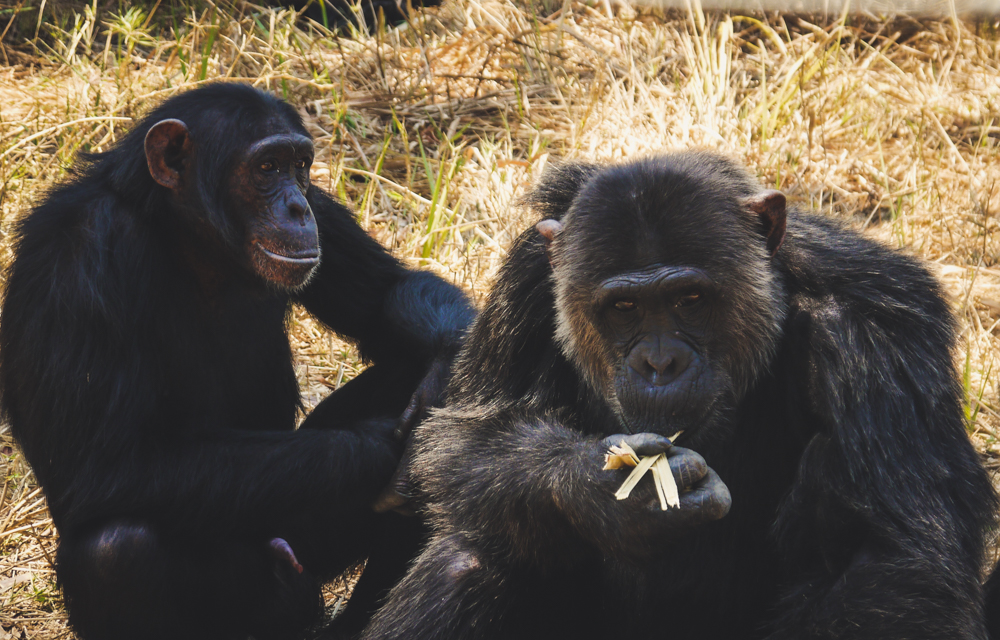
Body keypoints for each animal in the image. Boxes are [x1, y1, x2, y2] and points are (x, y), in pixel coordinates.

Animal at [0, 84, 476, 640]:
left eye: (298, 165)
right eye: (266, 167)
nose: (295, 206)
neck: (190, 240)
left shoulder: (325, 213)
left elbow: (385, 295)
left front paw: (442, 396)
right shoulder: (79, 259)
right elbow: (105, 464)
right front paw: (400, 444)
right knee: (115, 550)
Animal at [358, 151, 992, 640]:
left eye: (691, 299)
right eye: (624, 307)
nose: (660, 363)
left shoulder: (873, 330)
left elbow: (890, 560)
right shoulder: (527, 275)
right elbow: (460, 434)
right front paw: (606, 493)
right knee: (470, 558)